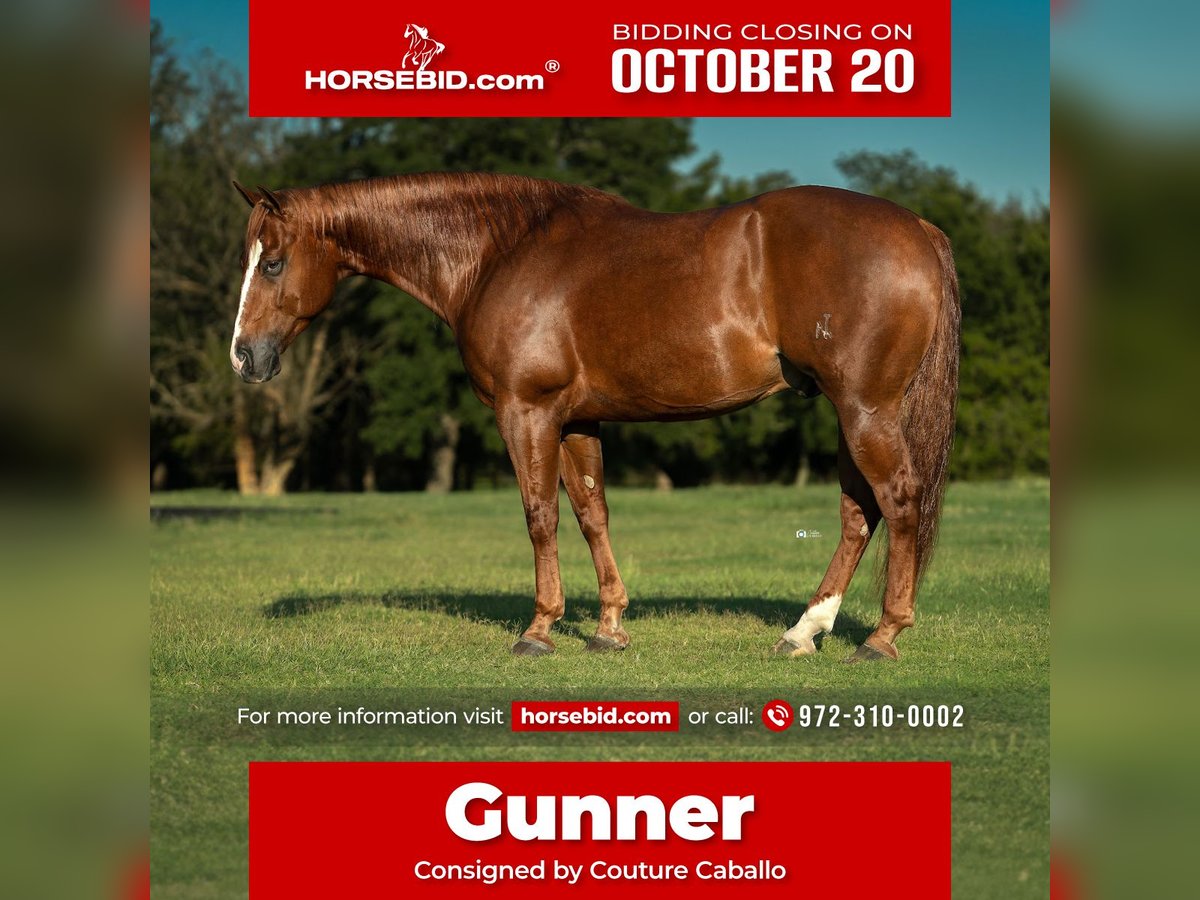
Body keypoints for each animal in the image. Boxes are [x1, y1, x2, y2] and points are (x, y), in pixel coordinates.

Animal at [229, 173, 959, 662]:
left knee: (897, 500)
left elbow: (540, 516)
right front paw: (609, 628)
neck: (500, 252)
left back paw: (882, 636)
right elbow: (590, 512)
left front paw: (539, 629)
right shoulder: (578, 421)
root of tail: (918, 228)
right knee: (858, 513)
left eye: (273, 263)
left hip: (864, 409)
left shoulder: (527, 413)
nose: (243, 356)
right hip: (850, 413)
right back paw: (803, 632)